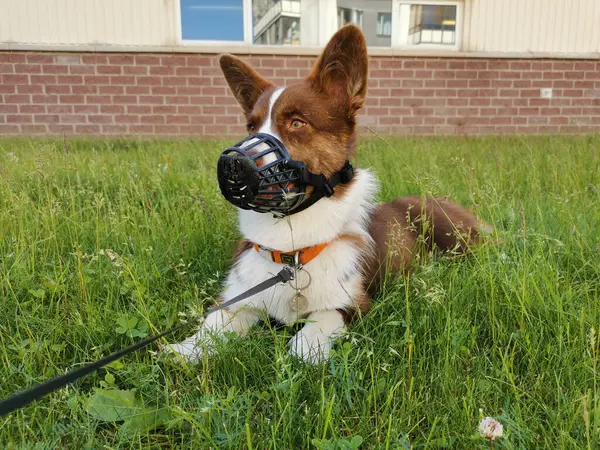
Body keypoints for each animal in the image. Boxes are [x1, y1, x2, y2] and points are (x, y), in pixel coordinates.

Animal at [166, 23, 486, 362]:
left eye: (297, 122)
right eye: (251, 127)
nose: (232, 163)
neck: (291, 249)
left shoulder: (352, 302)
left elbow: (322, 320)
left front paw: (308, 346)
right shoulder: (239, 297)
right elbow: (214, 324)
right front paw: (186, 349)